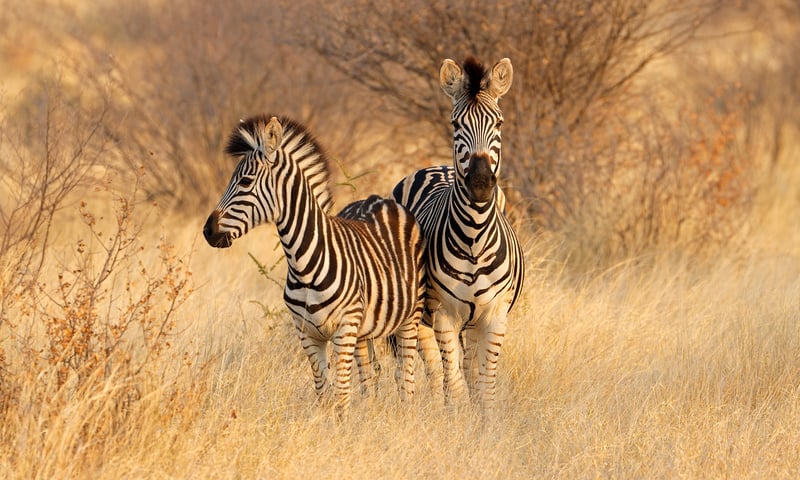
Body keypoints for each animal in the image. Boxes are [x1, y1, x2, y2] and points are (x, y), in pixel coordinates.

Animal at [203, 114, 424, 411]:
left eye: (246, 182)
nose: (208, 231)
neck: (304, 262)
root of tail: (379, 199)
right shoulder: (307, 333)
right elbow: (323, 391)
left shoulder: (344, 328)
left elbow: (342, 394)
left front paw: (343, 424)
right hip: (364, 331)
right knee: (370, 377)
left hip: (410, 317)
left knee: (405, 375)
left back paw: (405, 412)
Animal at [391, 57, 524, 411]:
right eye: (455, 124)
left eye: (500, 123)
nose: (479, 184)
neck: (475, 237)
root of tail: (436, 166)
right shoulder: (443, 313)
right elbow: (455, 384)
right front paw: (456, 420)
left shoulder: (495, 314)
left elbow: (484, 385)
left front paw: (485, 422)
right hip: (420, 314)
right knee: (429, 370)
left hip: (474, 321)